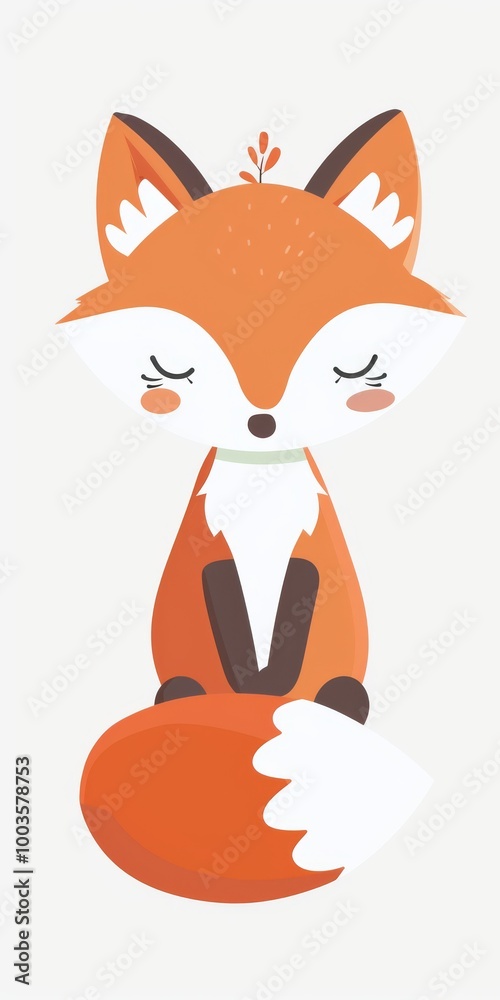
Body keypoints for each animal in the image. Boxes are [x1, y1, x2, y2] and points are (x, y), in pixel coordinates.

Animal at [60, 109, 464, 903]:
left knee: (345, 696)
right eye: (171, 368)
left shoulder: (312, 555)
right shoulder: (208, 554)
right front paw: (255, 695)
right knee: (182, 688)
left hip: (342, 675)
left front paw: (272, 698)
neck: (260, 496)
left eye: (355, 368)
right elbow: (224, 608)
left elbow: (298, 607)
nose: (262, 421)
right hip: (179, 674)